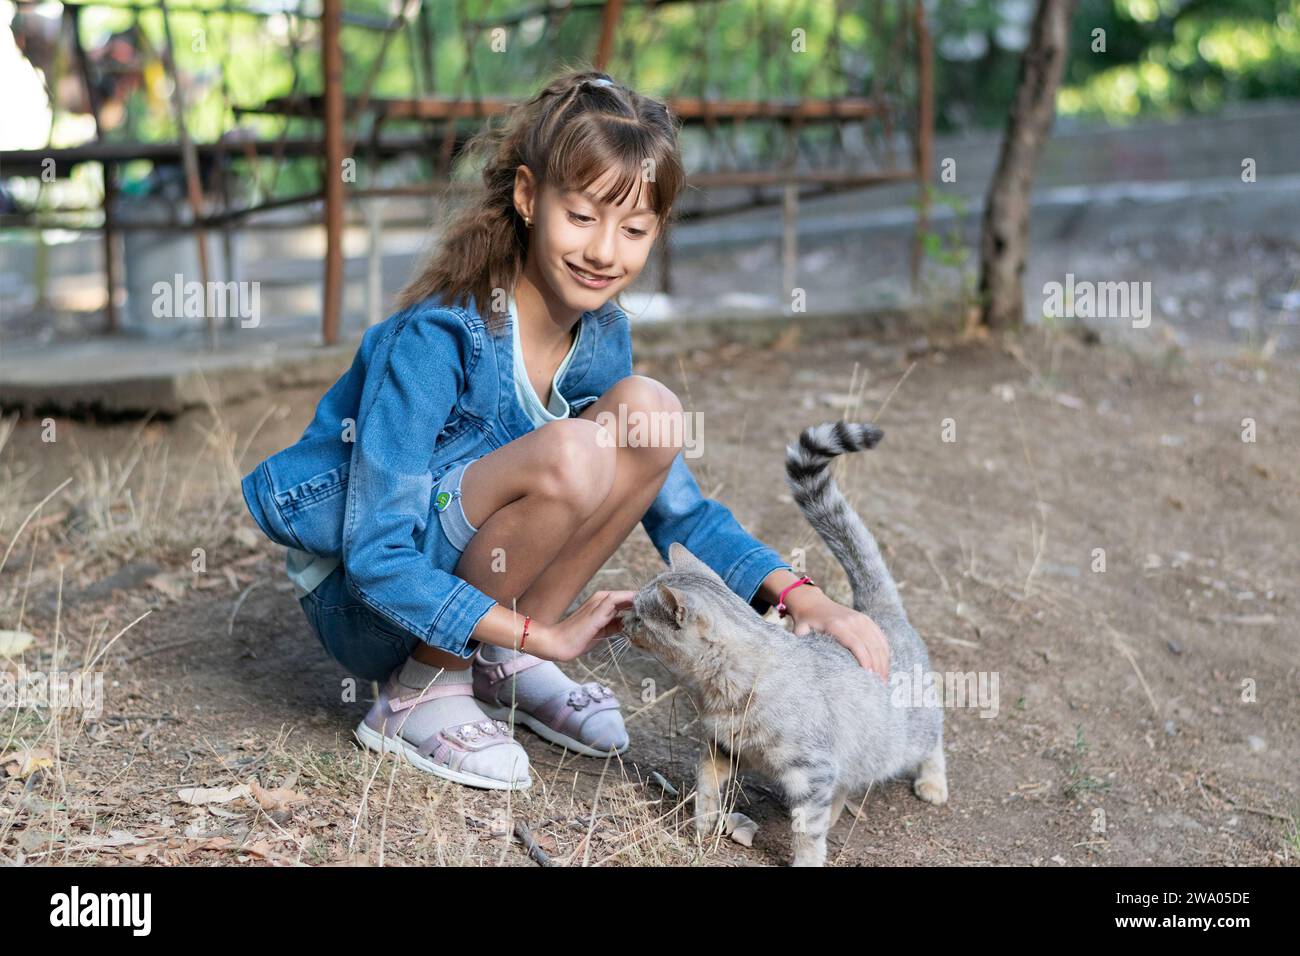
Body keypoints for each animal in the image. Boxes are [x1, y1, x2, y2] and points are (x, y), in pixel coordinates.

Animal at [618, 421, 946, 868]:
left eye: (638, 614)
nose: (621, 620)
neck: (717, 691)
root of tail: (878, 611)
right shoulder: (721, 747)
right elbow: (706, 785)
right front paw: (703, 825)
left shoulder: (813, 771)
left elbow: (807, 830)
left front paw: (806, 859)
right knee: (848, 781)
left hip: (908, 734)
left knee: (934, 741)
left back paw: (933, 783)